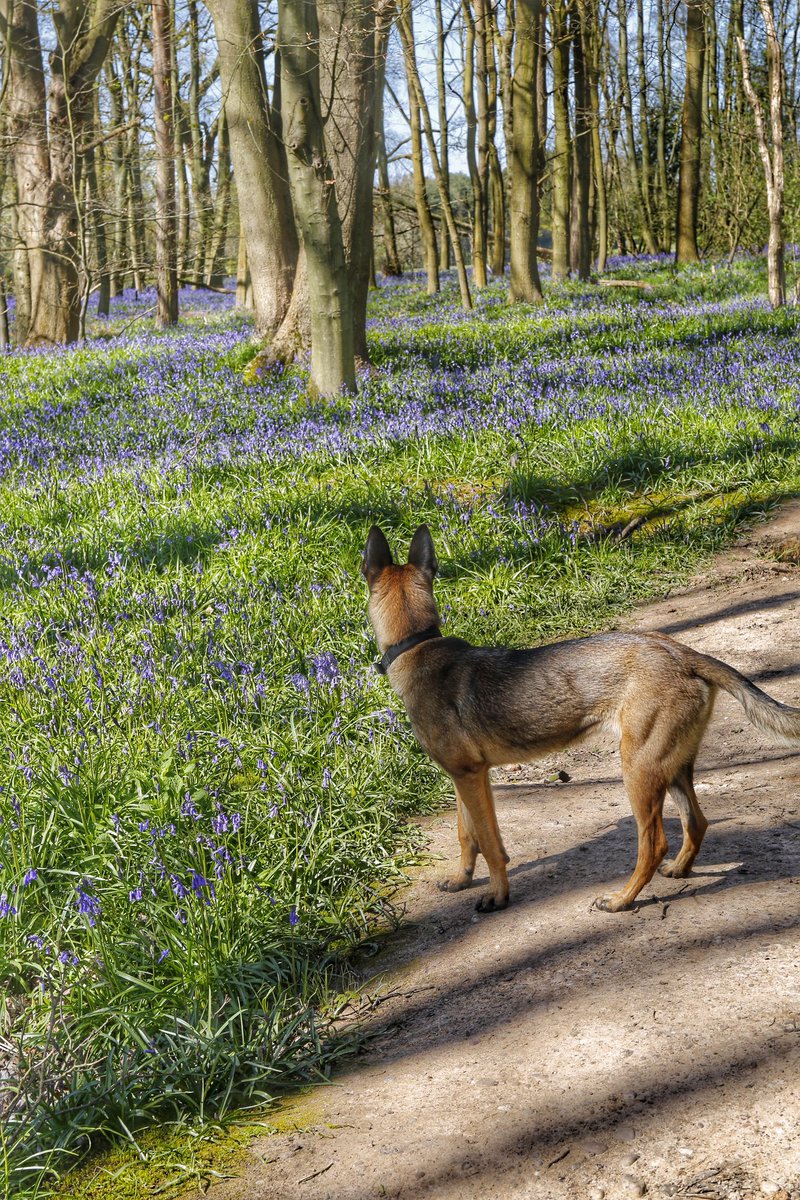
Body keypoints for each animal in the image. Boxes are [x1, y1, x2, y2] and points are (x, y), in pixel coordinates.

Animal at [362, 523, 800, 907]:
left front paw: (497, 897)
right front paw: (460, 880)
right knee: (697, 823)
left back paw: (622, 900)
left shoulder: (469, 776)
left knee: (654, 844)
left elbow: (490, 844)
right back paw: (678, 870)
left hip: (639, 770)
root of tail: (682, 652)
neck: (416, 645)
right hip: (672, 768)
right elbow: (466, 835)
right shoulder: (466, 777)